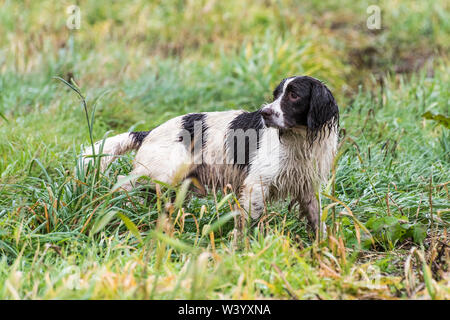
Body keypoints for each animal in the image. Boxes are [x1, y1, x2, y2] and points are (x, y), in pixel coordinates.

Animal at [83, 75, 338, 230]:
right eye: (276, 95)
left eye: (294, 95)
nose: (264, 113)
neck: (299, 141)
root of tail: (148, 133)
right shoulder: (257, 185)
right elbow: (249, 223)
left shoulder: (307, 187)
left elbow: (318, 223)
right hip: (161, 174)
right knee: (122, 183)